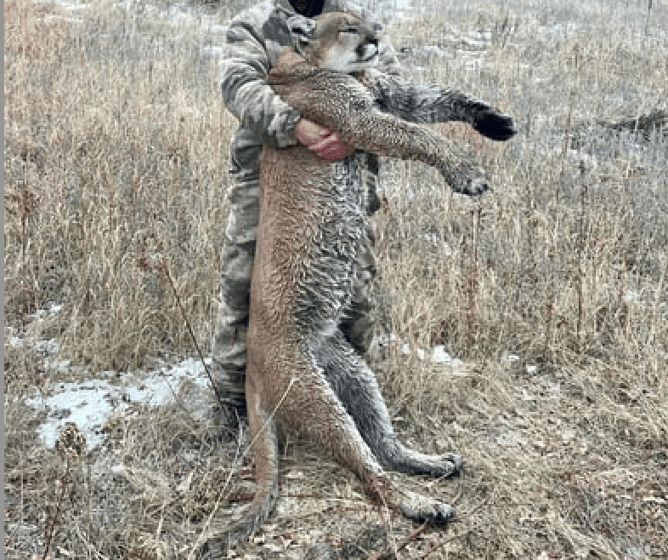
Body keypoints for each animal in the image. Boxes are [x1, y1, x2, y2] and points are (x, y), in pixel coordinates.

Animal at [197, 11, 515, 557]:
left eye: (367, 20)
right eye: (348, 27)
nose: (377, 38)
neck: (316, 65)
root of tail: (253, 366)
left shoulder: (389, 92)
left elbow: (439, 97)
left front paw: (494, 122)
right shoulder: (361, 120)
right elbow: (419, 135)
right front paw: (466, 172)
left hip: (353, 373)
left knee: (383, 444)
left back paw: (432, 464)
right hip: (314, 396)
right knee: (369, 471)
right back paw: (424, 506)